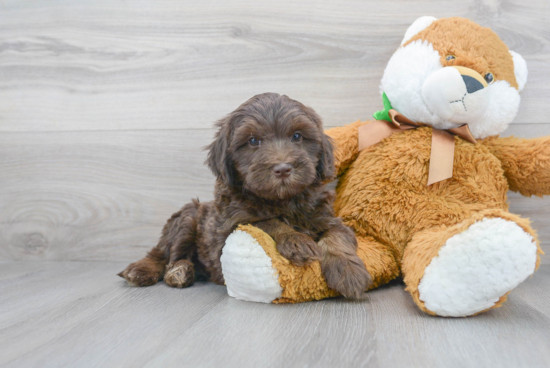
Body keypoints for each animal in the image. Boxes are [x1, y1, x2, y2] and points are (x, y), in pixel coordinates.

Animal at [118, 92, 374, 300]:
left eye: (297, 136)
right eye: (252, 141)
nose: (283, 169)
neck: (282, 200)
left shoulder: (327, 217)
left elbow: (337, 237)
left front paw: (349, 272)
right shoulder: (232, 226)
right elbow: (267, 222)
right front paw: (297, 240)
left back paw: (182, 271)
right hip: (188, 217)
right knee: (163, 252)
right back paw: (148, 270)